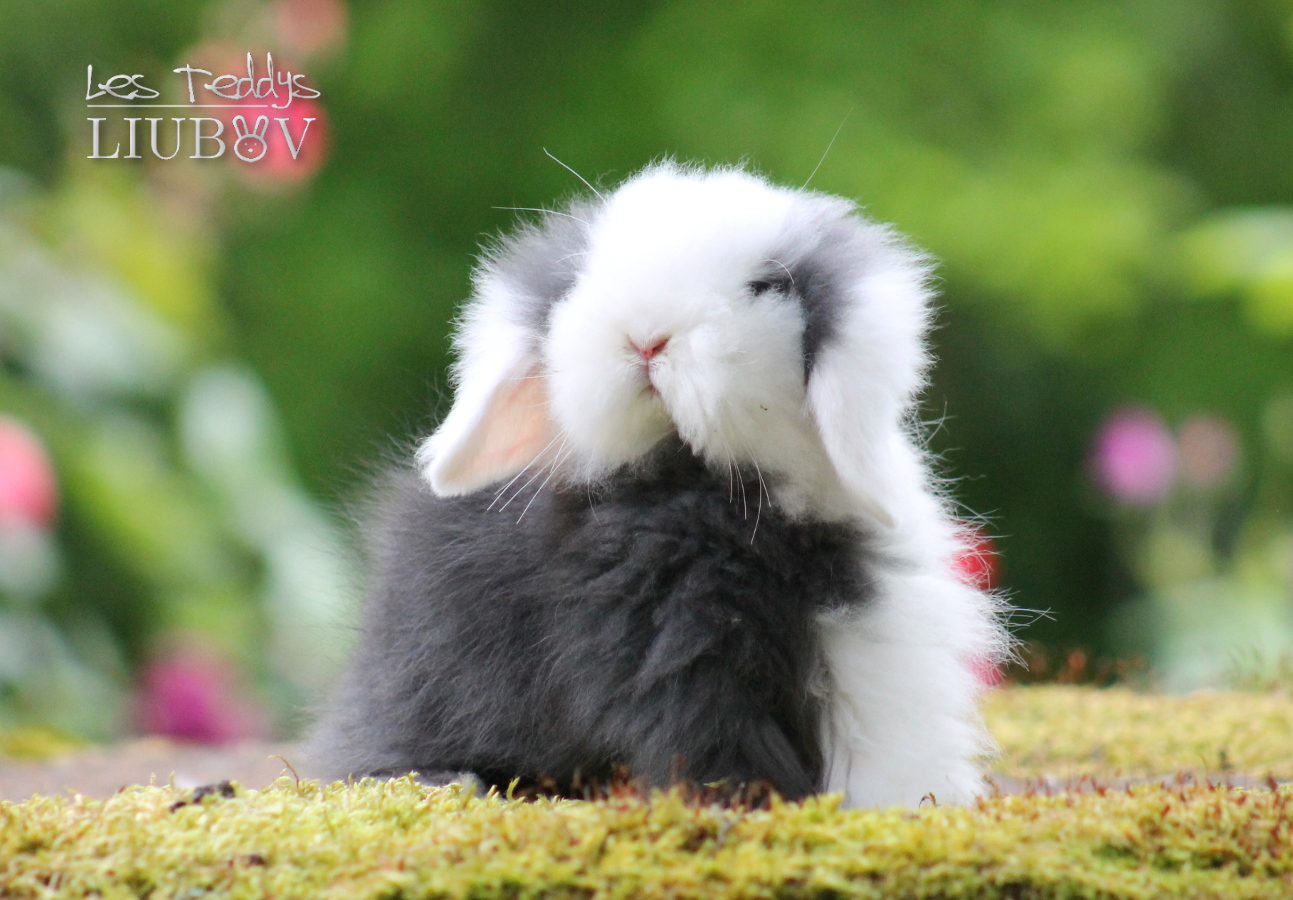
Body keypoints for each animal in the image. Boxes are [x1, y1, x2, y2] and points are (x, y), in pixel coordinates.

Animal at [306, 161, 1009, 807]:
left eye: (765, 286)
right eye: (584, 277)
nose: (645, 337)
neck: (696, 480)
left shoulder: (858, 630)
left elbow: (874, 732)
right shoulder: (682, 657)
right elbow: (713, 741)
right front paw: (746, 803)